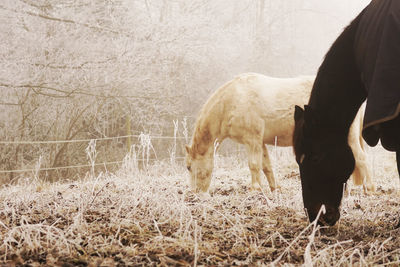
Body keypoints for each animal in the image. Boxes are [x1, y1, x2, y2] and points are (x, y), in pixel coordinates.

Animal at [186, 73, 374, 194]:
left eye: (188, 167)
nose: (194, 193)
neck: (232, 101)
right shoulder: (260, 142)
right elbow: (266, 166)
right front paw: (274, 188)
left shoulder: (252, 140)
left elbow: (253, 164)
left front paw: (255, 190)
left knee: (362, 159)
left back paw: (369, 189)